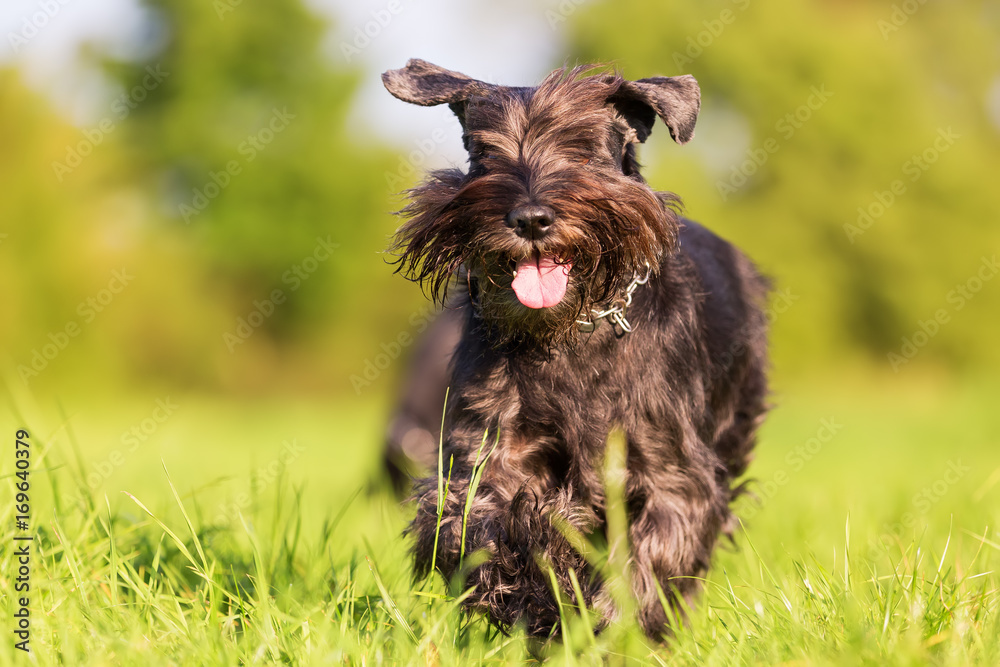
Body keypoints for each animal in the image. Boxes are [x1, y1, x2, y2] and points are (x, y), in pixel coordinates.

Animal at [378, 60, 768, 640]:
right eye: (484, 153)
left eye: (584, 150)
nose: (530, 219)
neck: (574, 333)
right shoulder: (492, 449)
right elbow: (472, 523)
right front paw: (532, 578)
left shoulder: (671, 477)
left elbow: (644, 568)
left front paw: (611, 628)